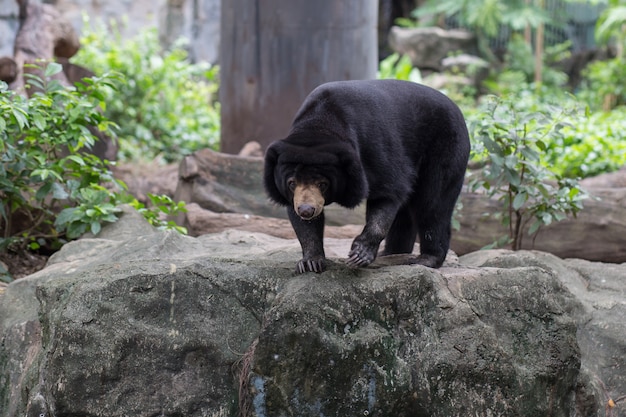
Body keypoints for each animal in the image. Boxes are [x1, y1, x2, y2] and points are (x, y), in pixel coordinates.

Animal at [262, 79, 468, 272]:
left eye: (322, 184)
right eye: (291, 183)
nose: (306, 210)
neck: (321, 122)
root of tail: (456, 108)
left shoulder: (374, 147)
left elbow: (388, 191)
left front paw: (359, 254)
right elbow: (303, 224)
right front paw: (310, 262)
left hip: (444, 148)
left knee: (433, 203)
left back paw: (426, 259)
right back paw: (391, 253)